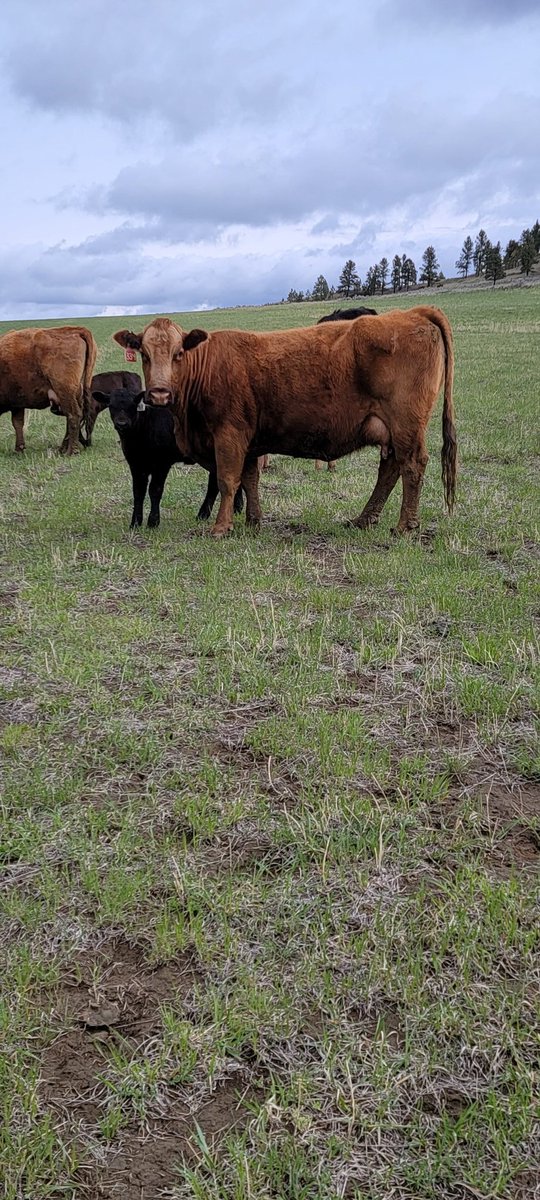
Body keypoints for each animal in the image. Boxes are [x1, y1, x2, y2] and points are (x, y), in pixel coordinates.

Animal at [0, 325, 97, 455]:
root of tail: (76, 330)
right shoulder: (17, 403)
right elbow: (18, 423)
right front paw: (19, 449)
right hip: (75, 391)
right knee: (73, 416)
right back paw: (63, 448)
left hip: (65, 391)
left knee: (73, 415)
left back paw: (70, 451)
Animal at [93, 386, 244, 528]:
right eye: (111, 406)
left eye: (133, 405)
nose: (122, 424)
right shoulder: (136, 464)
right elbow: (138, 492)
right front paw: (135, 523)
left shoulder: (162, 463)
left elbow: (155, 490)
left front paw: (153, 522)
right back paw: (235, 509)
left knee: (215, 483)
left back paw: (204, 514)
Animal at [113, 306, 456, 540]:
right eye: (144, 353)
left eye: (179, 353)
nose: (159, 393)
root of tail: (411, 313)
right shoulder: (250, 442)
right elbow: (250, 479)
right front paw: (253, 521)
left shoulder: (229, 435)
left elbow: (227, 481)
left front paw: (221, 527)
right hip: (392, 430)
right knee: (390, 469)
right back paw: (363, 519)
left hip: (405, 425)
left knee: (412, 466)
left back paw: (405, 526)